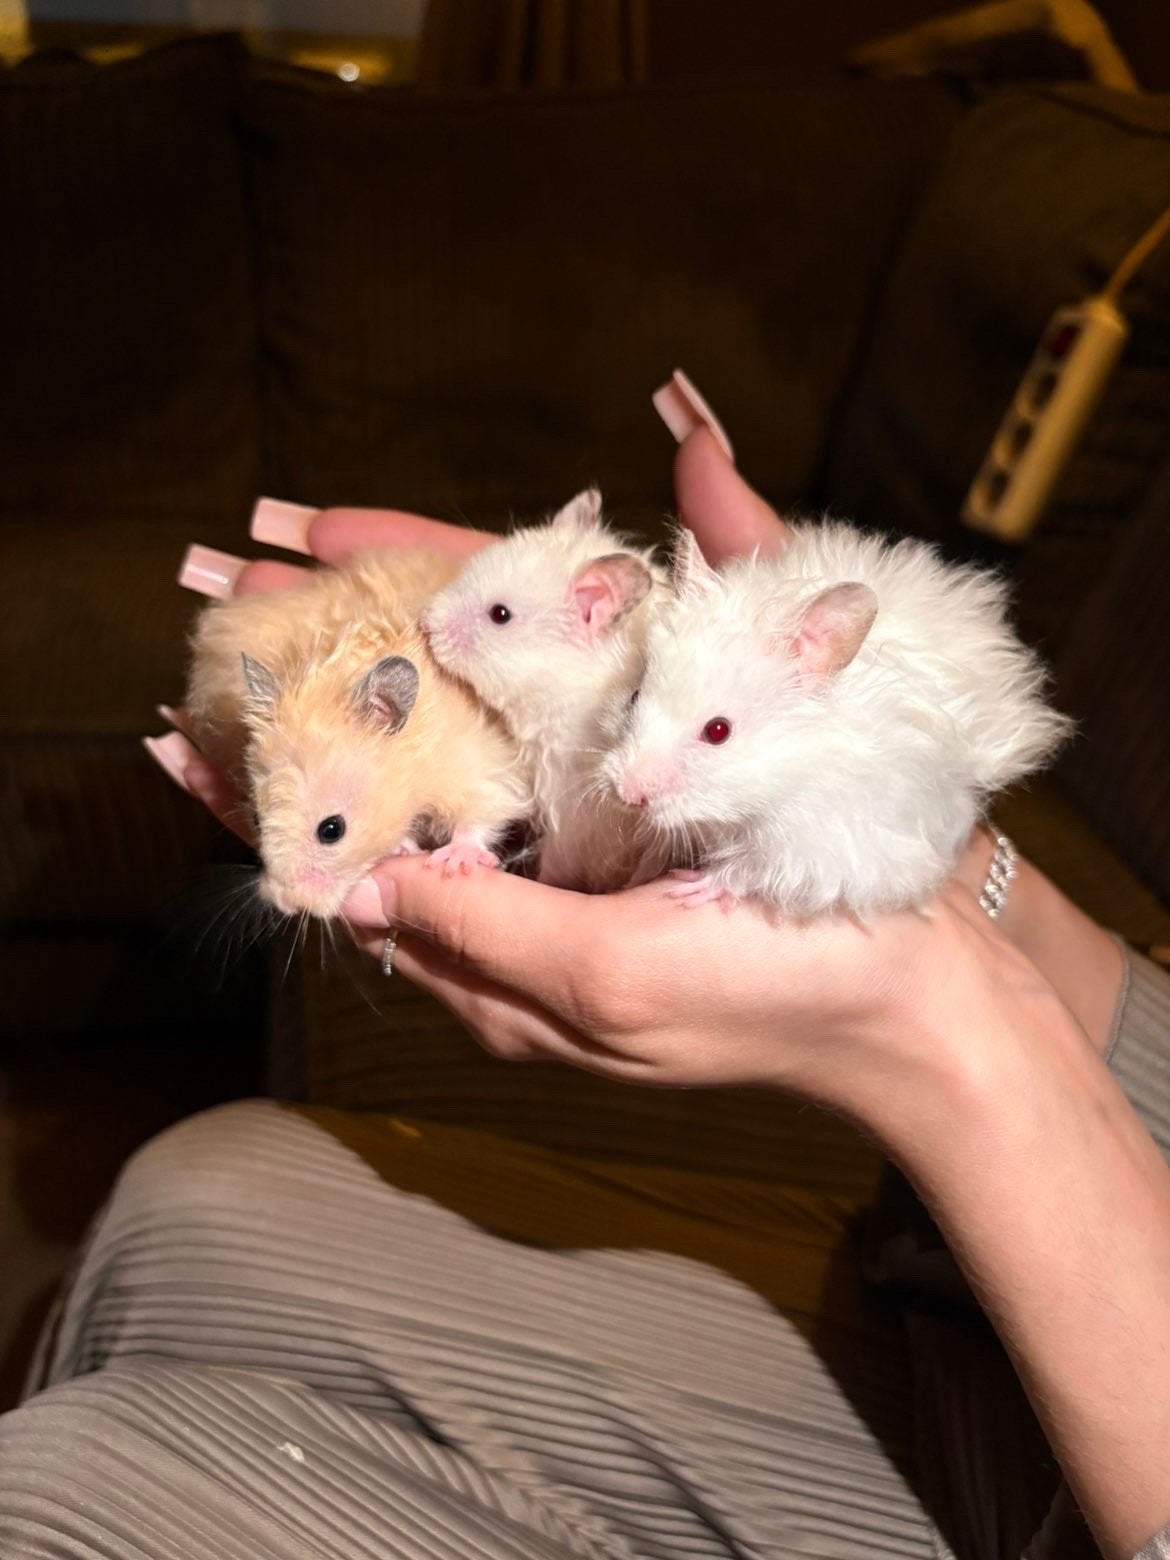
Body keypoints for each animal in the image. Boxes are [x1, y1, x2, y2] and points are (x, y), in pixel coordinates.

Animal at [185, 547, 528, 921]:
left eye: (332, 830)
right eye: (257, 821)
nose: (286, 904)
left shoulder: (483, 766)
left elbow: (480, 815)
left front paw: (452, 863)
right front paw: (403, 848)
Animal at [603, 522, 1071, 918]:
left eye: (718, 731)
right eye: (636, 695)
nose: (626, 793)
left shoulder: (820, 849)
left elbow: (748, 871)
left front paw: (690, 887)